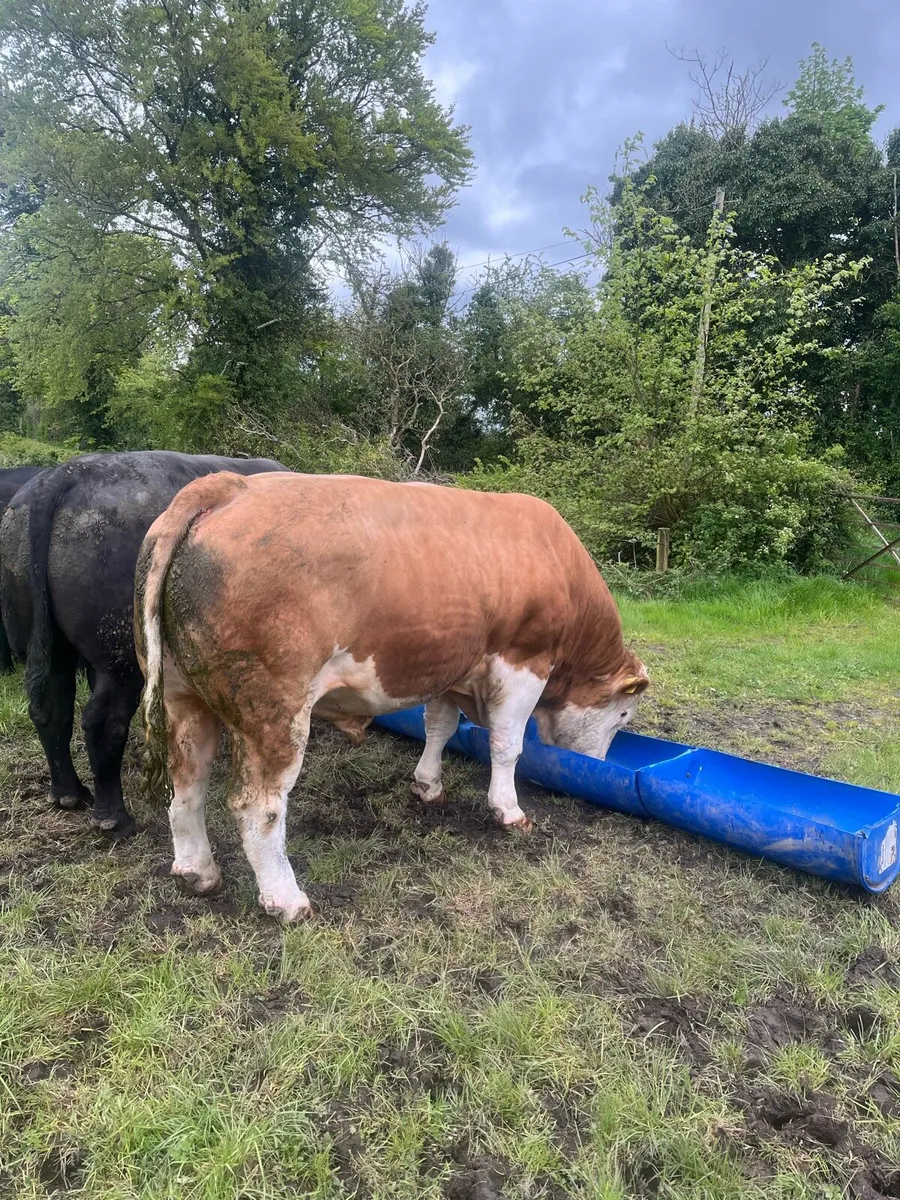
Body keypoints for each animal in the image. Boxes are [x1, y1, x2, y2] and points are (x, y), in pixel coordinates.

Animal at [0, 451, 286, 837]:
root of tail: (63, 476)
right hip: (119, 659)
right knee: (103, 722)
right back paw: (114, 819)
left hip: (53, 645)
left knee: (51, 708)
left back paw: (69, 794)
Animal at [136, 472, 649, 923]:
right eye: (623, 714)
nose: (599, 763)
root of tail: (229, 486)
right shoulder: (523, 662)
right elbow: (508, 746)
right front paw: (509, 811)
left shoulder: (447, 666)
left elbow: (439, 727)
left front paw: (428, 786)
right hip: (274, 711)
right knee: (257, 805)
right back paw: (287, 901)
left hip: (182, 697)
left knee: (187, 783)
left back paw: (197, 873)